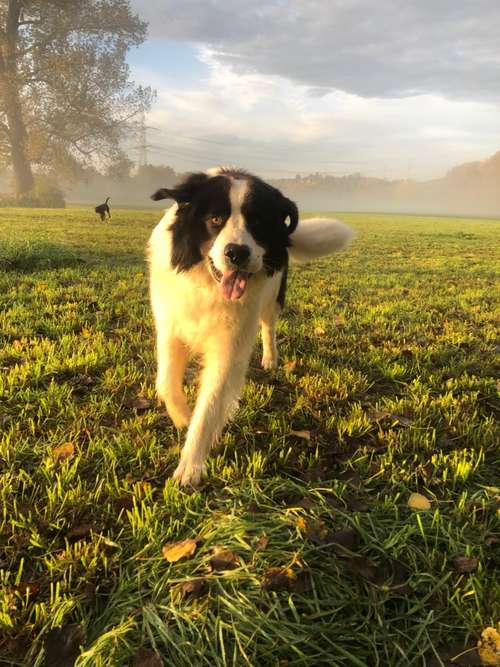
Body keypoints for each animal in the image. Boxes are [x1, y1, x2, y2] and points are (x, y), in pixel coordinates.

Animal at [146, 170, 354, 488]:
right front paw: (183, 417)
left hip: (272, 296)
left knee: (268, 327)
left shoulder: (229, 347)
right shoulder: (171, 327)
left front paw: (191, 465)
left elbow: (210, 405)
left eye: (257, 222)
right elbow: (167, 382)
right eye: (215, 219)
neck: (209, 288)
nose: (237, 253)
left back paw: (270, 358)